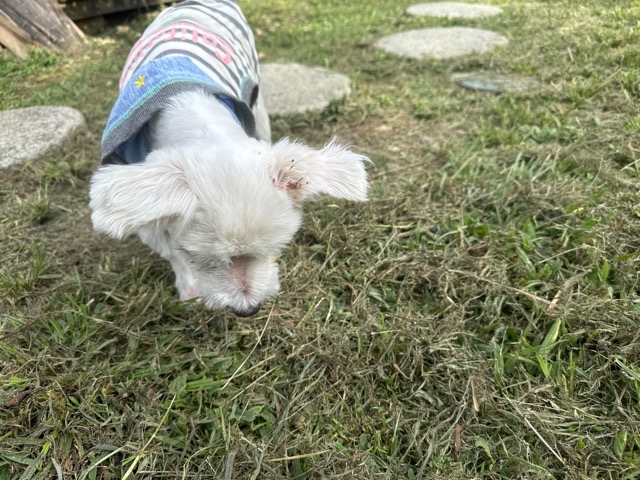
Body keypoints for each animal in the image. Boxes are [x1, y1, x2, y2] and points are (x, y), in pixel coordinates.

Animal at [89, 0, 369, 316]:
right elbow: (170, 249)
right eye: (201, 258)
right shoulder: (145, 205)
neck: (195, 113)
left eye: (273, 250)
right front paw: (190, 287)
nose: (248, 310)